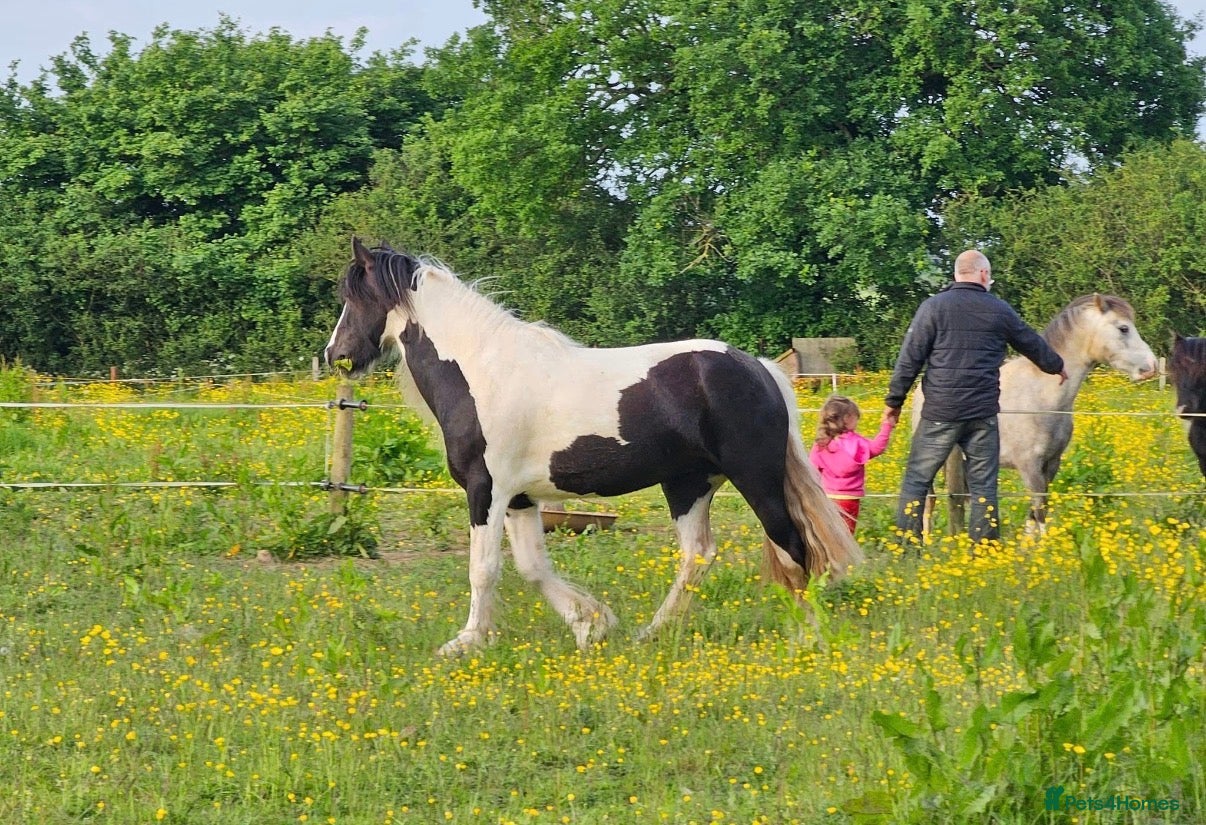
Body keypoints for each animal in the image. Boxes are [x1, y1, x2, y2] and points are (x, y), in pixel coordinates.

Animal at [324, 239, 862, 655]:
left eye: (355, 296)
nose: (335, 355)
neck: (481, 372)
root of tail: (759, 368)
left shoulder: (485, 490)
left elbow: (484, 569)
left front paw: (467, 641)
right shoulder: (520, 498)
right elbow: (532, 567)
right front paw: (591, 625)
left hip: (755, 477)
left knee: (791, 546)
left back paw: (808, 638)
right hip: (688, 484)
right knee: (698, 554)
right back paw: (652, 633)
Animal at [919, 293, 1157, 535]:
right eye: (1123, 328)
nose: (1152, 366)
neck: (1042, 396)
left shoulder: (1051, 463)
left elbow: (1035, 513)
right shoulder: (1029, 466)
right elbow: (1040, 511)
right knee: (928, 499)